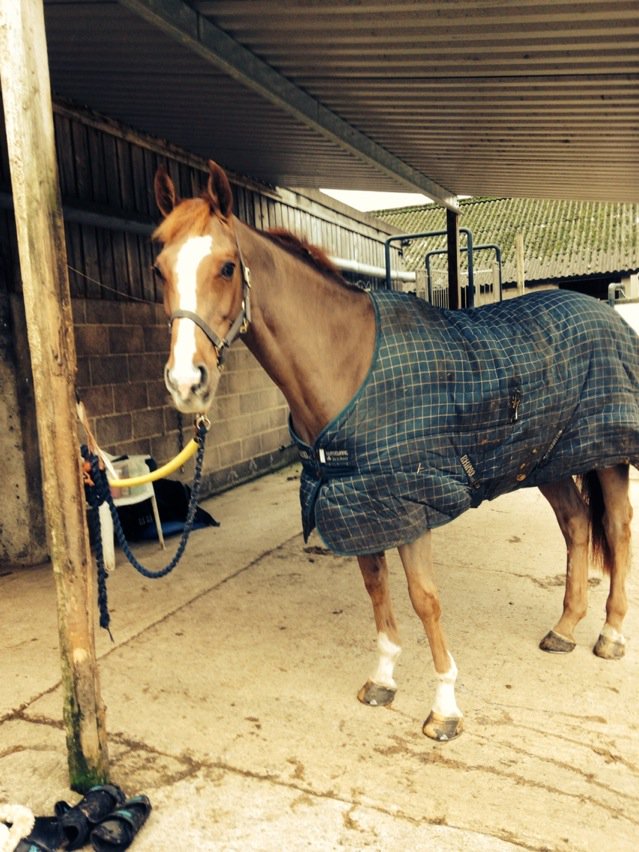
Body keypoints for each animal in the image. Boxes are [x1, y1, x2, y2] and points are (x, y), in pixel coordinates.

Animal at [151, 160, 638, 741]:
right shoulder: (356, 501)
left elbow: (424, 599)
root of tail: (606, 313)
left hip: (605, 454)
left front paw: (445, 708)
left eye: (226, 267)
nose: (186, 382)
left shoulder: (407, 505)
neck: (348, 362)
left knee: (617, 528)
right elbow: (376, 588)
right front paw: (382, 680)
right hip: (547, 461)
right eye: (159, 268)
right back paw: (564, 628)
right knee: (577, 525)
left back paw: (610, 635)